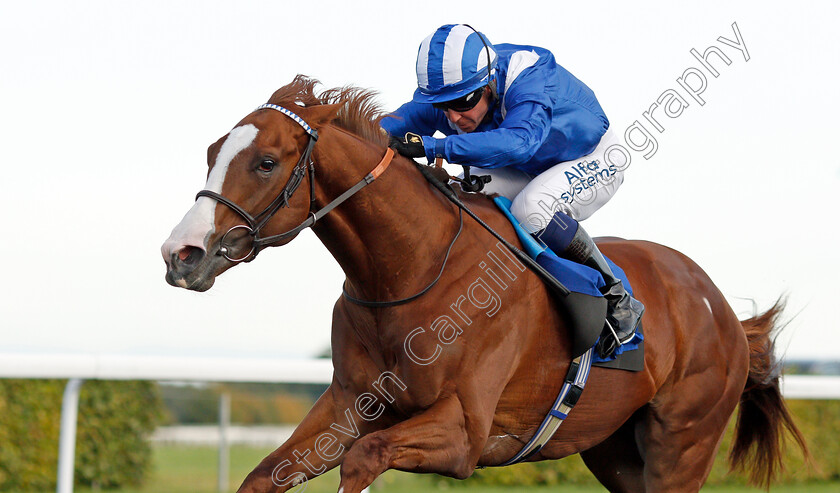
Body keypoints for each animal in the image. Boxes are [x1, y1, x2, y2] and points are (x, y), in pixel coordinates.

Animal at [159, 75, 808, 490]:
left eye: (266, 162)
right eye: (212, 152)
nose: (180, 254)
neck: (413, 268)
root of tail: (723, 310)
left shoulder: (465, 432)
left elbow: (365, 457)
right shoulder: (349, 402)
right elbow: (266, 473)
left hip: (682, 445)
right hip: (616, 450)